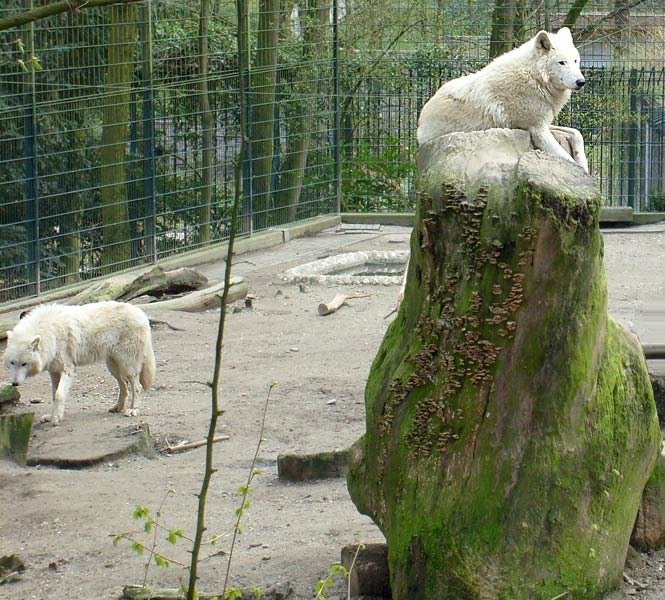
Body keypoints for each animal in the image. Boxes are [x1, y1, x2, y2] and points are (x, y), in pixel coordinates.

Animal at [3, 302, 155, 424]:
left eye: (24, 364)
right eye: (12, 363)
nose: (14, 384)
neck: (50, 333)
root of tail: (141, 313)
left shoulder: (67, 369)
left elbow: (59, 395)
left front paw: (56, 419)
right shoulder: (54, 371)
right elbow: (54, 394)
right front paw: (52, 416)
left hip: (127, 366)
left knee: (138, 387)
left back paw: (133, 410)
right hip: (113, 367)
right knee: (124, 386)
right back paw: (118, 408)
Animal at [418, 27, 588, 172]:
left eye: (575, 61)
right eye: (562, 62)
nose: (581, 82)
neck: (534, 77)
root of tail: (420, 122)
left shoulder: (542, 124)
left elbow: (576, 133)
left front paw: (583, 163)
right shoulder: (538, 130)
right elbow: (568, 161)